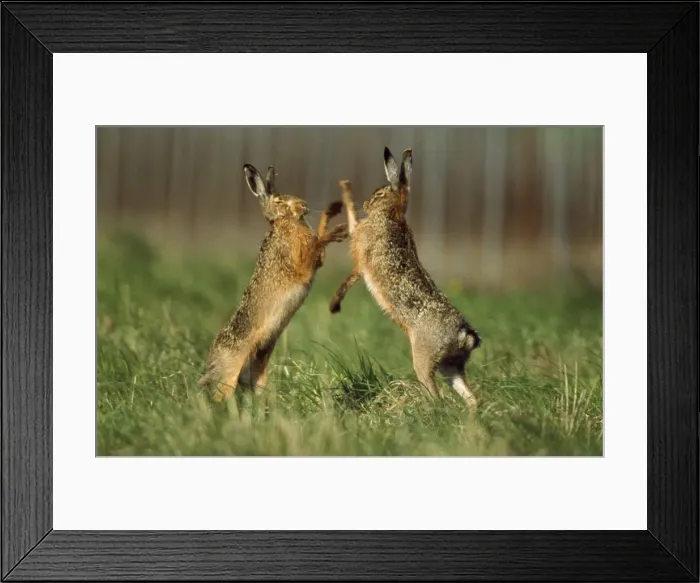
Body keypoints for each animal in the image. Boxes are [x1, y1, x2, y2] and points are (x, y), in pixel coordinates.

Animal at [198, 163, 349, 401]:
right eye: (279, 201)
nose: (304, 205)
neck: (284, 223)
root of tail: (211, 363)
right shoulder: (300, 264)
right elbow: (317, 243)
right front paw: (338, 230)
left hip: (259, 365)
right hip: (230, 370)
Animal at [329, 147, 482, 408]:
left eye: (380, 193)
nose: (367, 203)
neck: (392, 214)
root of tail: (464, 334)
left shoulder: (361, 253)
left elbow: (352, 247)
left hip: (423, 358)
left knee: (435, 395)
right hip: (451, 366)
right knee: (471, 398)